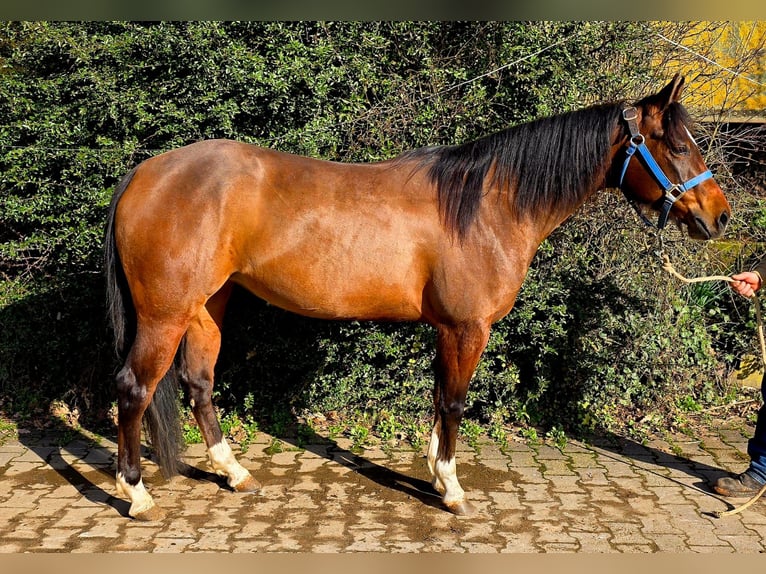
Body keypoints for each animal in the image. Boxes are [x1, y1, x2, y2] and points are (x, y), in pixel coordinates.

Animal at [105, 74, 730, 520]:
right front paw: (452, 489)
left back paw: (234, 473)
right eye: (678, 145)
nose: (720, 217)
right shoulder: (467, 328)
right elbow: (453, 403)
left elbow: (436, 399)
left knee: (198, 383)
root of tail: (144, 171)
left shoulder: (448, 330)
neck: (487, 203)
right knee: (134, 388)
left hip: (207, 307)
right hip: (165, 314)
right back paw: (136, 495)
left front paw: (433, 471)